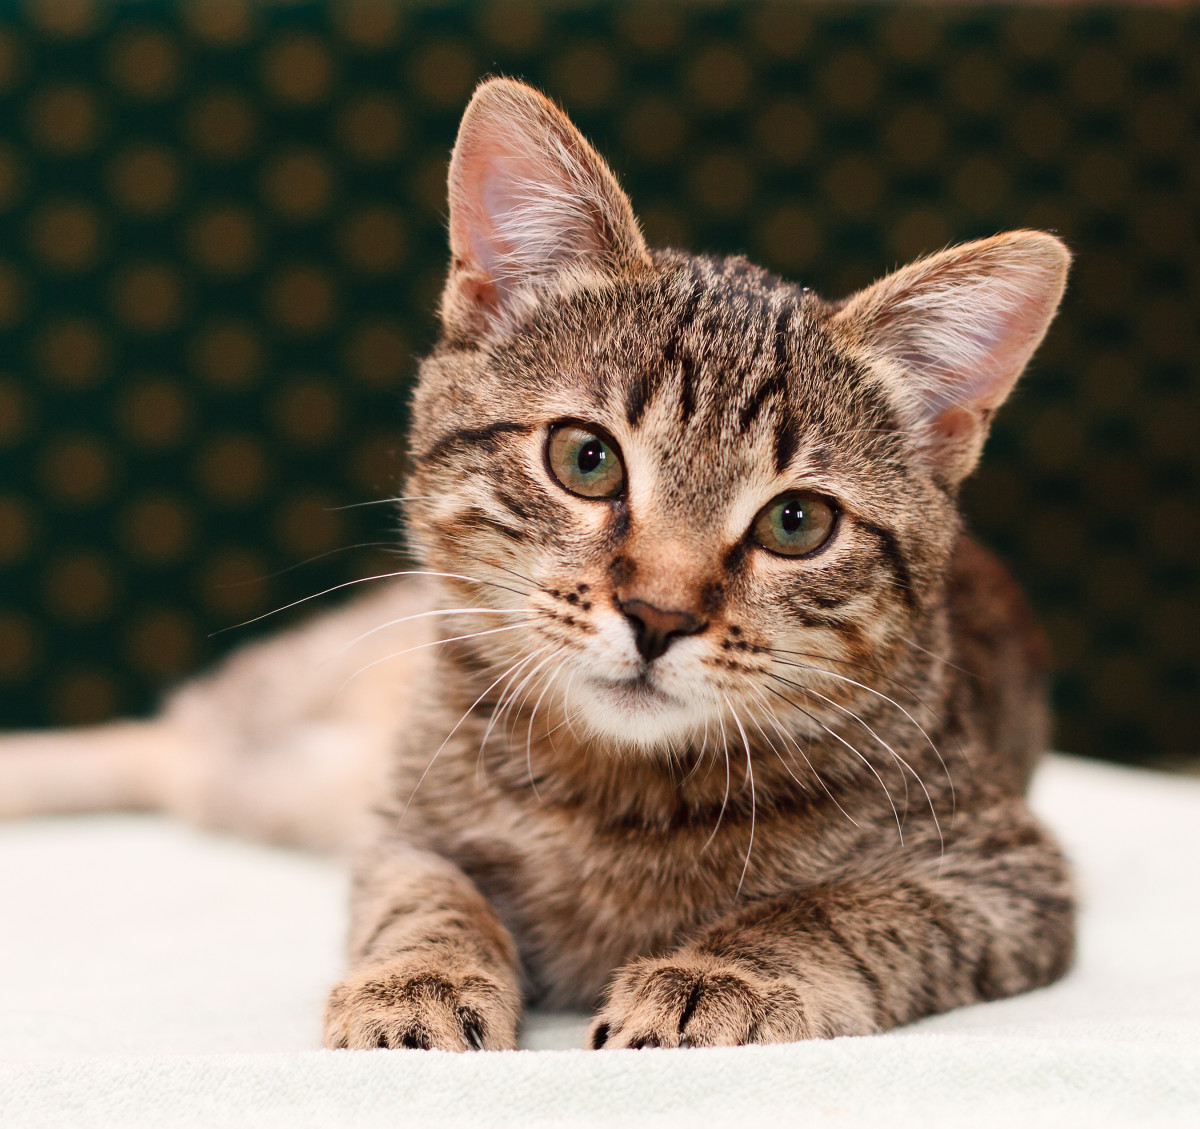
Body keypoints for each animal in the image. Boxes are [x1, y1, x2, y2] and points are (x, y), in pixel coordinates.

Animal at [0, 77, 1075, 1046]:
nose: (659, 614)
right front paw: (418, 975)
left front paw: (725, 971)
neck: (612, 793)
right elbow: (422, 895)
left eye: (797, 522)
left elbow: (841, 910)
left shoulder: (1007, 877)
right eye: (585, 458)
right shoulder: (400, 827)